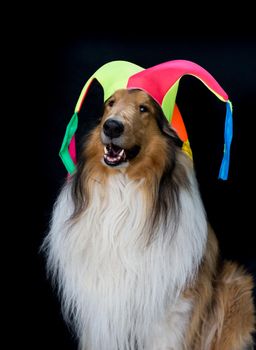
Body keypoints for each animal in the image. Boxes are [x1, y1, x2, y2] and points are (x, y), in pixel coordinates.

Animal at [43, 89, 255, 348]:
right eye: (110, 103)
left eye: (144, 109)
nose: (112, 126)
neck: (123, 188)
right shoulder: (99, 309)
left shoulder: (169, 310)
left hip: (236, 286)